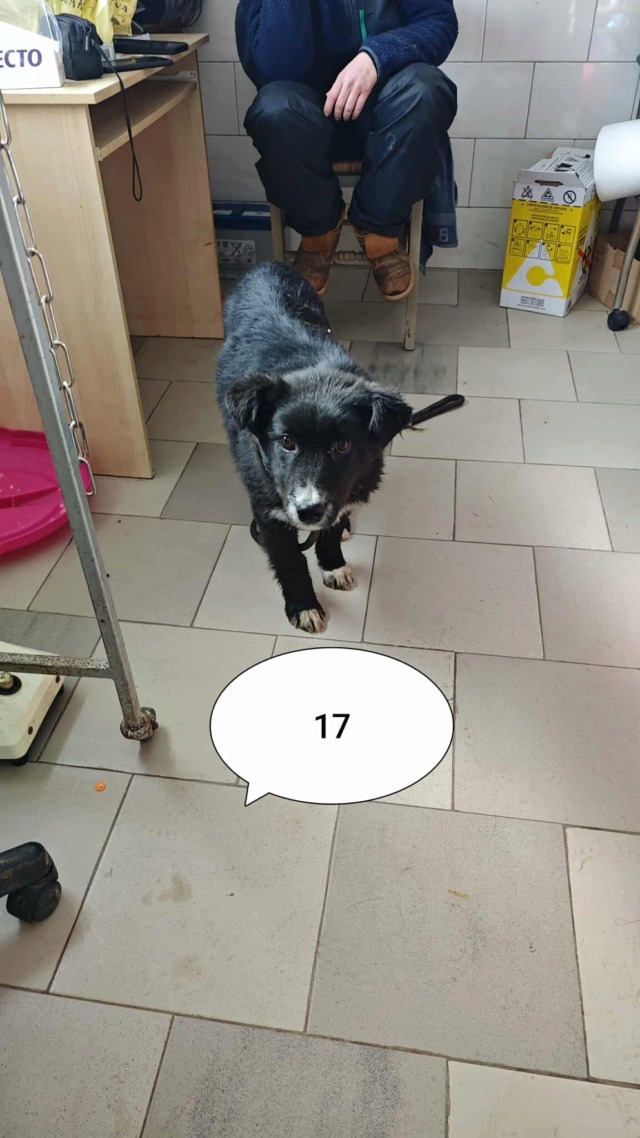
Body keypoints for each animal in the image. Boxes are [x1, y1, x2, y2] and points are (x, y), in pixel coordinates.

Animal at [216, 262, 413, 634]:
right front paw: (304, 606)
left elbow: (331, 529)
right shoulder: (270, 511)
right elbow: (290, 560)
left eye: (342, 445)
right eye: (286, 442)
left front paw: (333, 564)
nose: (308, 512)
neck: (314, 373)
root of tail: (266, 265)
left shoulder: (343, 490)